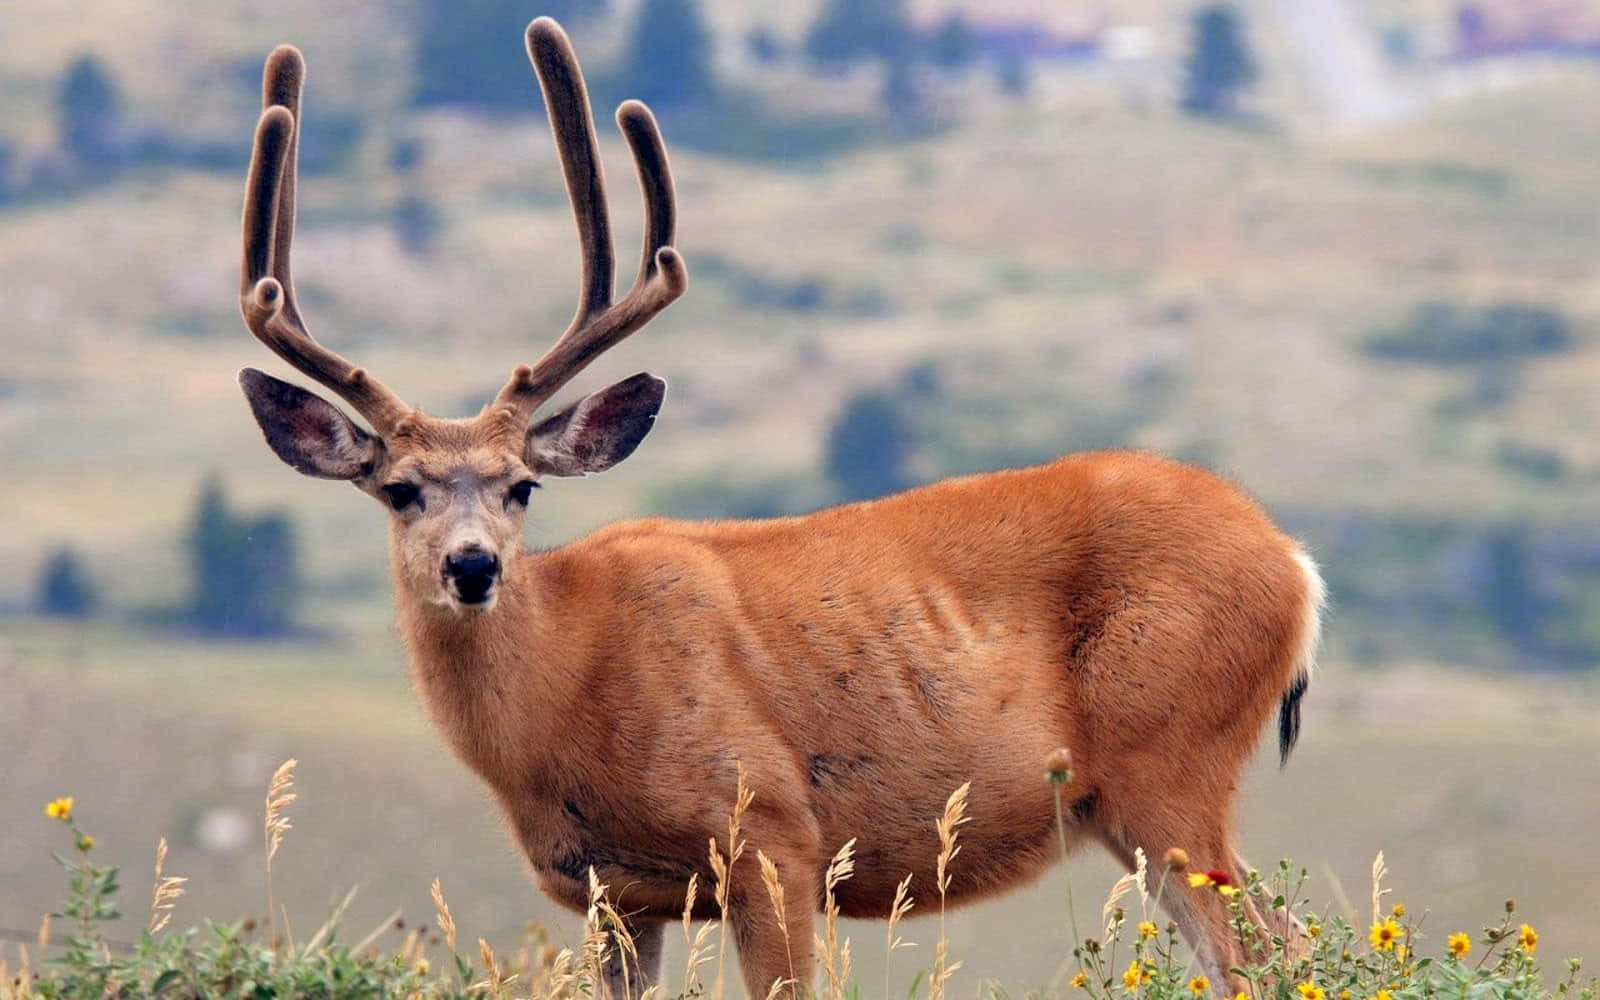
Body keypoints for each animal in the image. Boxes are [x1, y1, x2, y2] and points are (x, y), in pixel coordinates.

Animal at [235, 16, 1324, 1000]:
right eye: (399, 488)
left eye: (521, 485)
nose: (471, 565)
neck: (571, 686)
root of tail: (1293, 563)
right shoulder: (612, 894)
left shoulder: (770, 832)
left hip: (1169, 757)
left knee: (1270, 953)